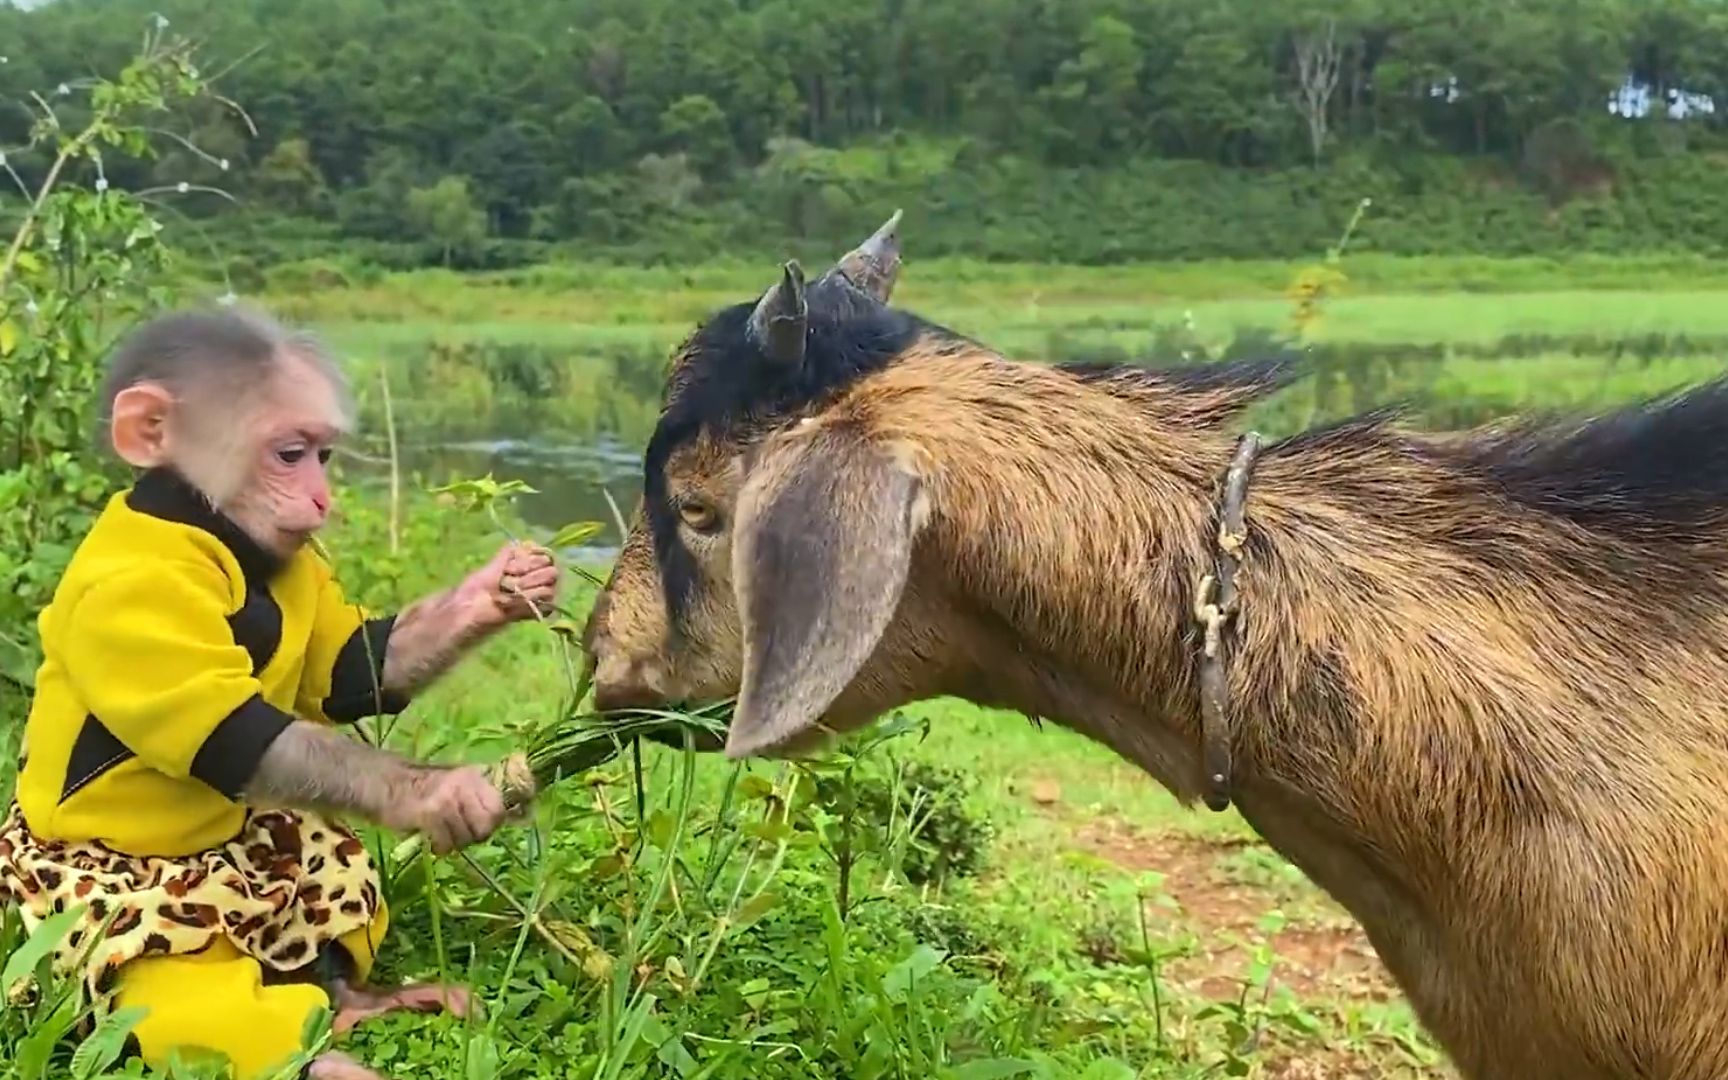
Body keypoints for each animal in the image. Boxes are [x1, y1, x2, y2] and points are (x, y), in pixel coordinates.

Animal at [0, 305, 556, 1078]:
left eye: (323, 456)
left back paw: (359, 1001)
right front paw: (447, 796)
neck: (213, 532)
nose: (321, 497)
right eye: (291, 455)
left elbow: (353, 669)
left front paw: (503, 588)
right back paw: (322, 1056)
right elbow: (234, 733)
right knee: (183, 1003)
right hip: (82, 924)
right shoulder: (136, 595)